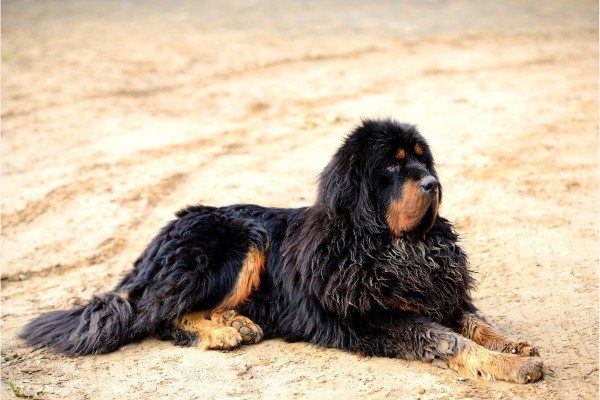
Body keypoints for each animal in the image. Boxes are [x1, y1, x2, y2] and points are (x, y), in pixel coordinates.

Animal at [19, 119, 544, 384]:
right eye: (395, 167)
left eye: (423, 158)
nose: (434, 183)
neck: (391, 247)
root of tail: (159, 237)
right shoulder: (375, 318)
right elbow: (448, 339)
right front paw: (512, 366)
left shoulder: (437, 293)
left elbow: (474, 323)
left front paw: (512, 345)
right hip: (239, 238)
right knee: (159, 317)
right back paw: (221, 332)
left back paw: (236, 322)